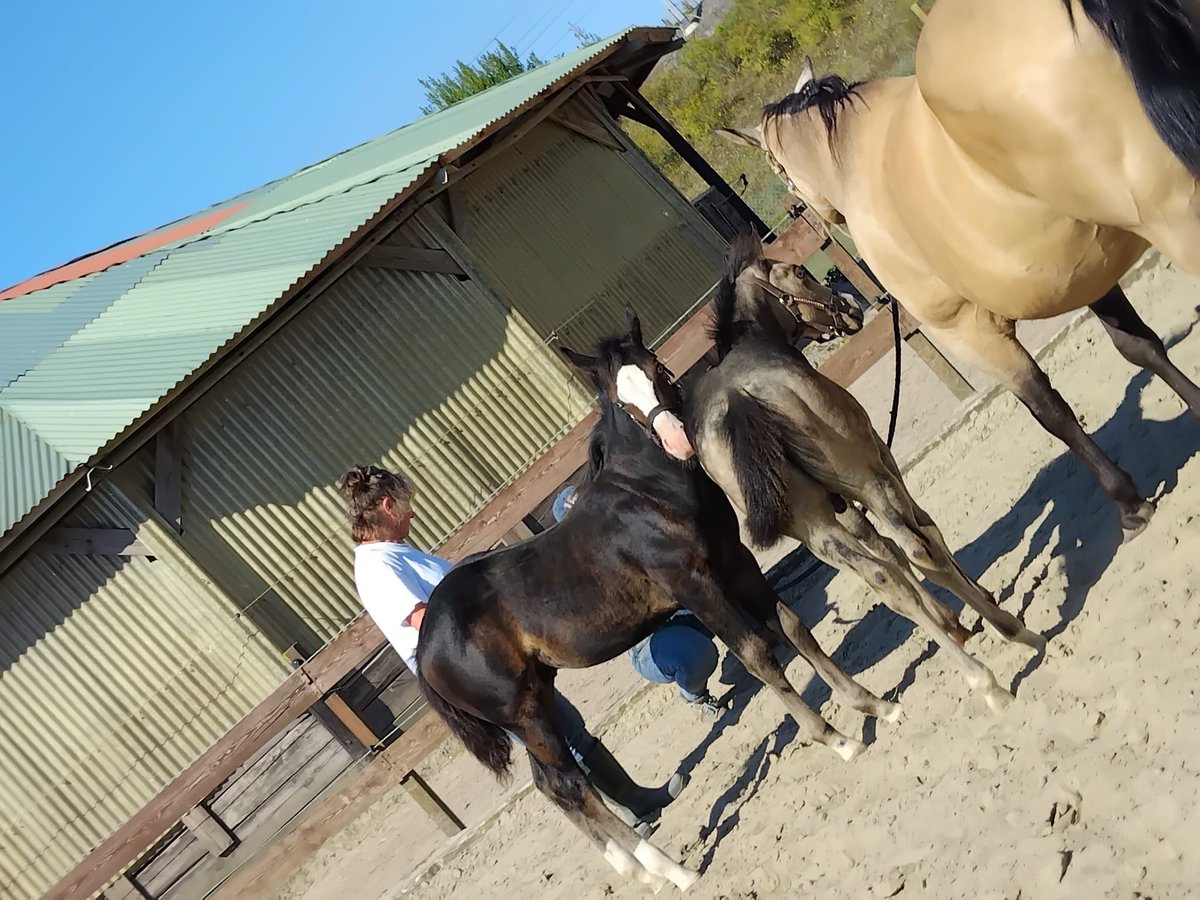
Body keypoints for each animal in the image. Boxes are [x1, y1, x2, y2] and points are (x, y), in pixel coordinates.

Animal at [416, 308, 899, 892]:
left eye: (659, 370)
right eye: (620, 402)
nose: (676, 439)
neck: (649, 493)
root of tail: (424, 646)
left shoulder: (735, 561)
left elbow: (791, 625)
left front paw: (875, 706)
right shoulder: (693, 583)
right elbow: (757, 653)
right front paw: (838, 740)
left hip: (538, 701)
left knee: (552, 786)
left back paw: (641, 872)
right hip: (525, 713)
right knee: (569, 785)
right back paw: (678, 873)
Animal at [683, 236, 1045, 712]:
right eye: (800, 273)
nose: (852, 306)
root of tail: (737, 398)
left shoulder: (842, 509)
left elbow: (887, 555)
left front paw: (952, 621)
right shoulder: (880, 462)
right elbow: (923, 535)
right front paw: (980, 605)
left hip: (814, 527)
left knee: (881, 578)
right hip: (866, 479)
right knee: (915, 547)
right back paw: (1008, 649)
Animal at [716, 0, 1200, 540]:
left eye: (778, 170)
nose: (816, 216)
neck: (856, 162)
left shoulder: (970, 333)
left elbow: (1049, 411)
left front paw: (1129, 505)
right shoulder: (1087, 270)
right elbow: (1139, 346)